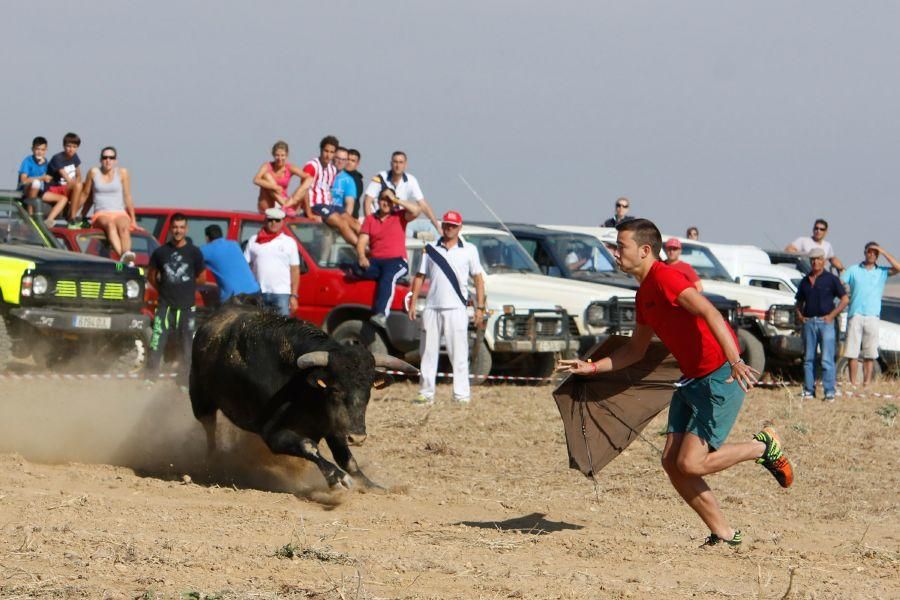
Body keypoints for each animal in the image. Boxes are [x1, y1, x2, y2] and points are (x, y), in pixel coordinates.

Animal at [189, 308, 418, 490]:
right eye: (336, 389)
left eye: (368, 390)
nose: (357, 437)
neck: (305, 390)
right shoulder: (273, 434)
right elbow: (308, 446)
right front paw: (337, 478)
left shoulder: (333, 425)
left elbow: (347, 459)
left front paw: (371, 484)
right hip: (201, 402)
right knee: (209, 429)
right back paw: (213, 461)